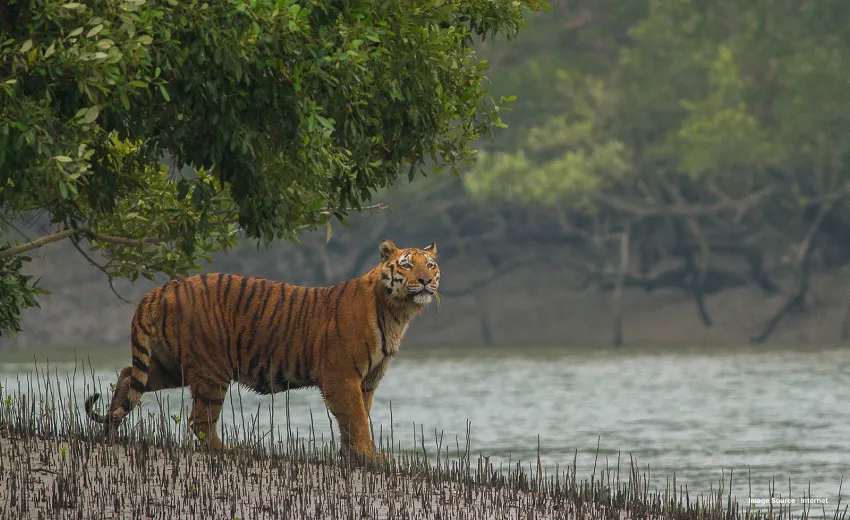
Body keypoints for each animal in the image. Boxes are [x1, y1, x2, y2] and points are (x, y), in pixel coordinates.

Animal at [84, 239, 440, 462]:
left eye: (431, 265)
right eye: (407, 266)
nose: (425, 281)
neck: (397, 312)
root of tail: (162, 288)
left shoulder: (366, 381)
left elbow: (357, 418)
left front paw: (353, 456)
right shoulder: (341, 376)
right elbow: (355, 419)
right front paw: (369, 457)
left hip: (171, 365)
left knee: (128, 375)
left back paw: (110, 432)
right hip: (211, 370)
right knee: (199, 420)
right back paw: (228, 451)